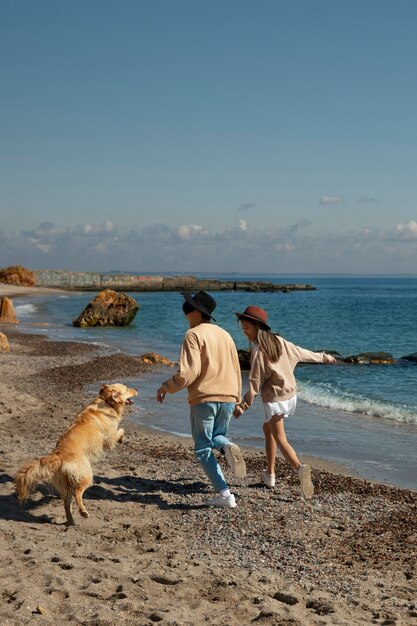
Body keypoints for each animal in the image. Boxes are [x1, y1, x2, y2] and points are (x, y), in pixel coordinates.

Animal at [14, 382, 137, 524]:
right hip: (86, 476)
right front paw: (122, 439)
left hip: (65, 483)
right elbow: (121, 430)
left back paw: (71, 521)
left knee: (67, 503)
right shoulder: (110, 438)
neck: (106, 401)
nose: (136, 389)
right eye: (126, 389)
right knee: (78, 493)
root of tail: (58, 455)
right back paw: (83, 512)